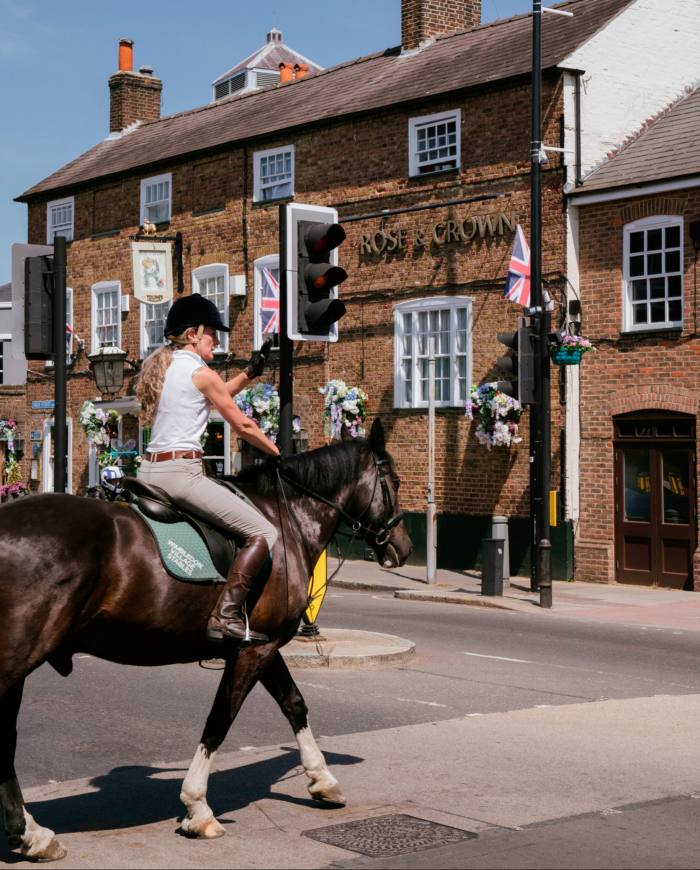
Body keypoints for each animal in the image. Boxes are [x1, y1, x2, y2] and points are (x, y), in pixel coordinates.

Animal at [0, 418, 410, 860]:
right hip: (17, 656)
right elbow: (220, 719)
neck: (285, 519)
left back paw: (30, 834)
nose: (404, 547)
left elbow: (294, 704)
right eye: (395, 481)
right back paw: (32, 832)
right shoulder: (255, 649)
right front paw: (197, 808)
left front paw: (322, 781)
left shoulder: (260, 644)